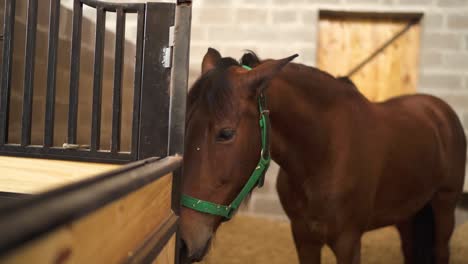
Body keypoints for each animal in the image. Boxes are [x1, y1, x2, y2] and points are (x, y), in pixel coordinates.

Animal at [178, 48, 464, 264]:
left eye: (226, 133)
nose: (183, 242)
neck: (323, 155)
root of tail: (438, 109)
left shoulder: (348, 242)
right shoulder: (304, 237)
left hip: (444, 205)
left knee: (441, 250)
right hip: (407, 214)